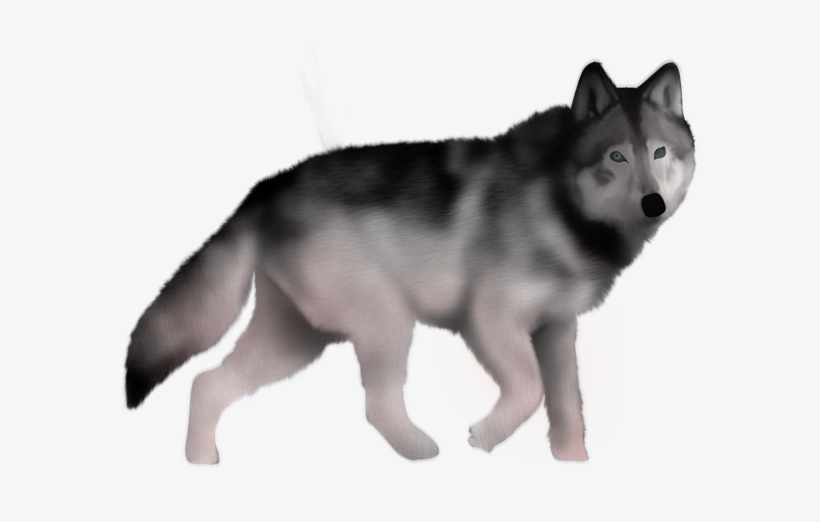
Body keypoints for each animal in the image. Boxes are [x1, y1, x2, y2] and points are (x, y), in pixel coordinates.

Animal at [125, 62, 695, 464]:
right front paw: (484, 436)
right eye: (617, 156)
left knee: (206, 384)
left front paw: (573, 465)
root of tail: (265, 188)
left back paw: (201, 464)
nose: (653, 204)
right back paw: (422, 452)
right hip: (387, 324)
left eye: (660, 153)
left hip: (296, 343)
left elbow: (568, 407)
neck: (561, 204)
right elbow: (531, 391)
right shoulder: (488, 320)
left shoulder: (556, 330)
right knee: (376, 404)